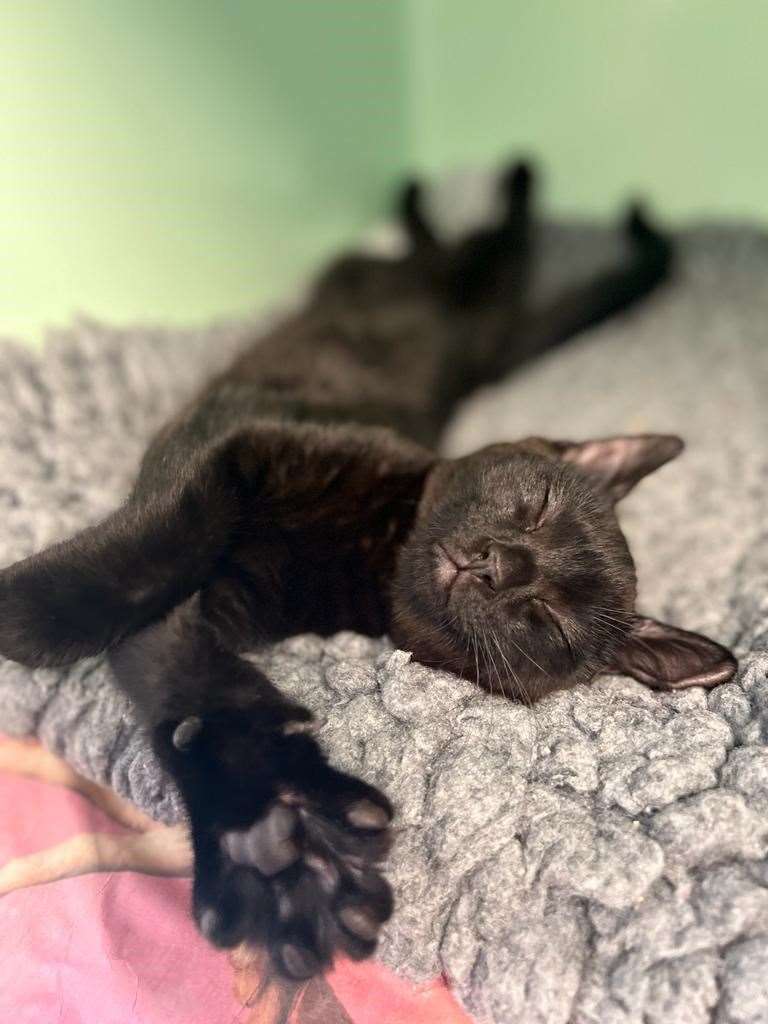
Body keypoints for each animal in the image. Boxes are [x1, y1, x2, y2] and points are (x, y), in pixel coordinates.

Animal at [0, 163, 737, 978]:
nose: (502, 564)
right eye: (537, 507)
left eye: (549, 617)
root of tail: (463, 345)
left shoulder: (218, 605)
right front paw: (36, 607)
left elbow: (196, 697)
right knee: (482, 250)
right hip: (462, 289)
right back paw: (482, 186)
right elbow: (170, 536)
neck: (369, 551)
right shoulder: (232, 446)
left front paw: (273, 849)